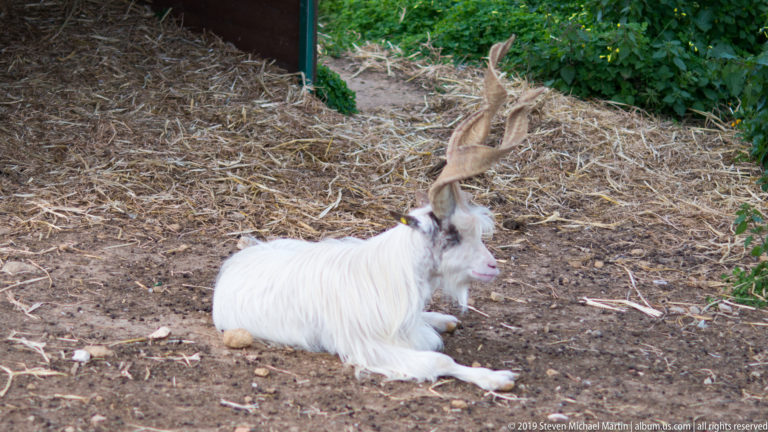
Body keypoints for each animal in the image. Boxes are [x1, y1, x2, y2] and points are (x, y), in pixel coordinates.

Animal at [212, 36, 543, 391]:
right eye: (452, 234)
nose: (492, 266)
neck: (392, 272)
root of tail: (239, 260)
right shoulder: (369, 346)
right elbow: (440, 360)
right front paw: (497, 378)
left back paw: (444, 318)